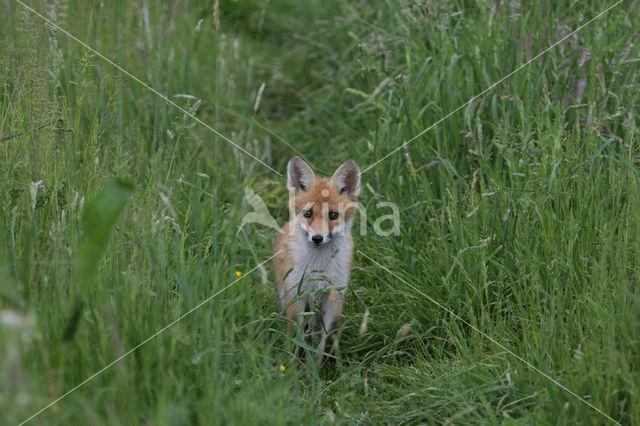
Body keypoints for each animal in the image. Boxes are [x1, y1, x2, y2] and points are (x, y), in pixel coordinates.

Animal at [274, 156, 360, 362]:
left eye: (333, 215)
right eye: (308, 214)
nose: (317, 238)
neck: (318, 265)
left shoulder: (335, 297)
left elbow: (324, 342)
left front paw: (319, 366)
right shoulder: (296, 295)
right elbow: (295, 338)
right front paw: (292, 366)